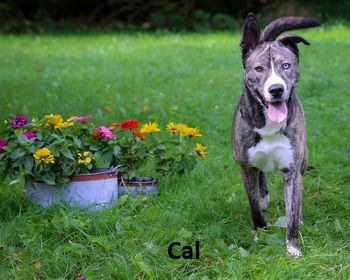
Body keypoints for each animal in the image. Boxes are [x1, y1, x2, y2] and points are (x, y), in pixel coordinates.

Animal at [232, 13, 320, 258]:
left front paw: (292, 246)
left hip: (303, 159)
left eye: (286, 66)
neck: (270, 125)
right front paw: (260, 233)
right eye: (259, 68)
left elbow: (291, 212)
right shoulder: (246, 168)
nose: (276, 89)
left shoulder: (292, 170)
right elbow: (254, 208)